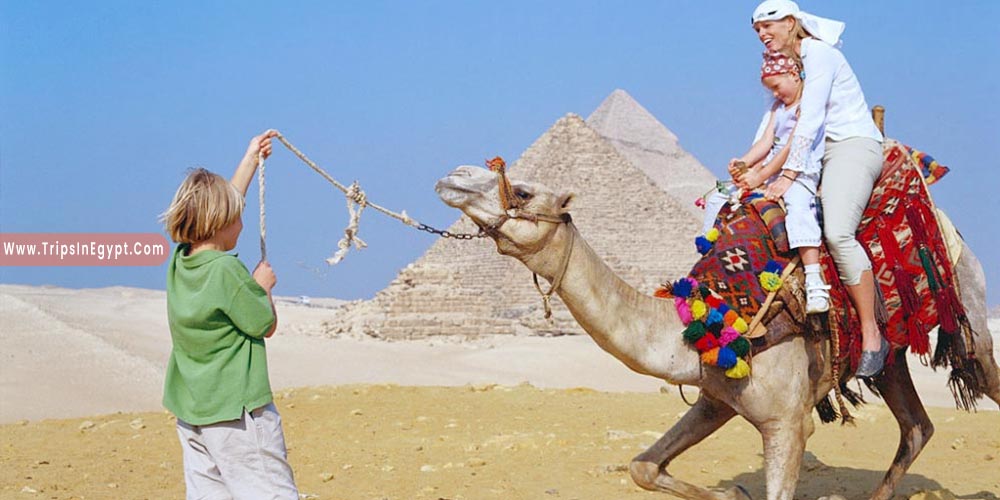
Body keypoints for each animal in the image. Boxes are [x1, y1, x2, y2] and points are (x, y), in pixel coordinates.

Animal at [435, 165, 1000, 500]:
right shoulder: (717, 398)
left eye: (523, 190)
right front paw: (731, 493)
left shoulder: (787, 423)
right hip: (888, 354)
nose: (454, 175)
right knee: (916, 426)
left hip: (969, 318)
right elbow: (642, 467)